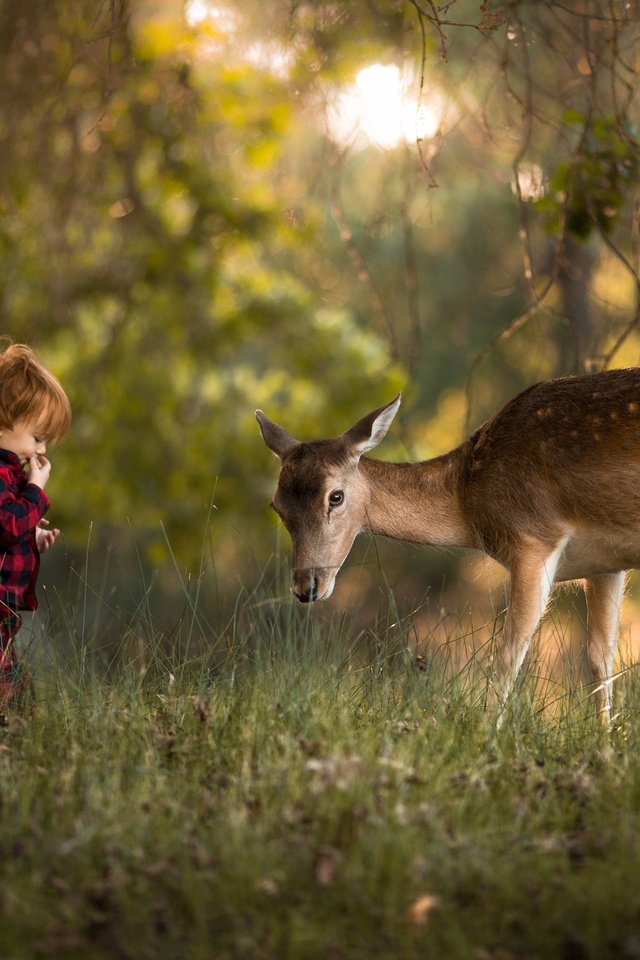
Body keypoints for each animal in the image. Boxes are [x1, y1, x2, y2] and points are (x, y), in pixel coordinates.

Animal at [254, 372, 640, 724]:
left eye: (335, 496)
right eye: (276, 506)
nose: (306, 586)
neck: (469, 499)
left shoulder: (534, 538)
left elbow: (508, 654)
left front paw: (487, 736)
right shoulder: (604, 565)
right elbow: (601, 659)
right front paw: (605, 742)